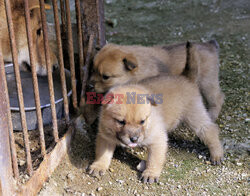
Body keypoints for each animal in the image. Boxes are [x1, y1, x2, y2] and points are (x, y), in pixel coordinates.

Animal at [89, 41, 224, 121]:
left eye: (105, 77)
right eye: (93, 69)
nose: (89, 85)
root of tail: (209, 45)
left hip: (207, 82)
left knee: (218, 98)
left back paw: (212, 115)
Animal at [89, 75, 224, 184]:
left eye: (142, 121)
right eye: (121, 122)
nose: (134, 139)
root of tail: (187, 79)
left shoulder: (158, 140)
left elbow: (154, 159)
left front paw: (150, 174)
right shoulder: (105, 137)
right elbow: (102, 154)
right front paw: (98, 166)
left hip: (195, 116)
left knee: (210, 129)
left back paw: (217, 154)